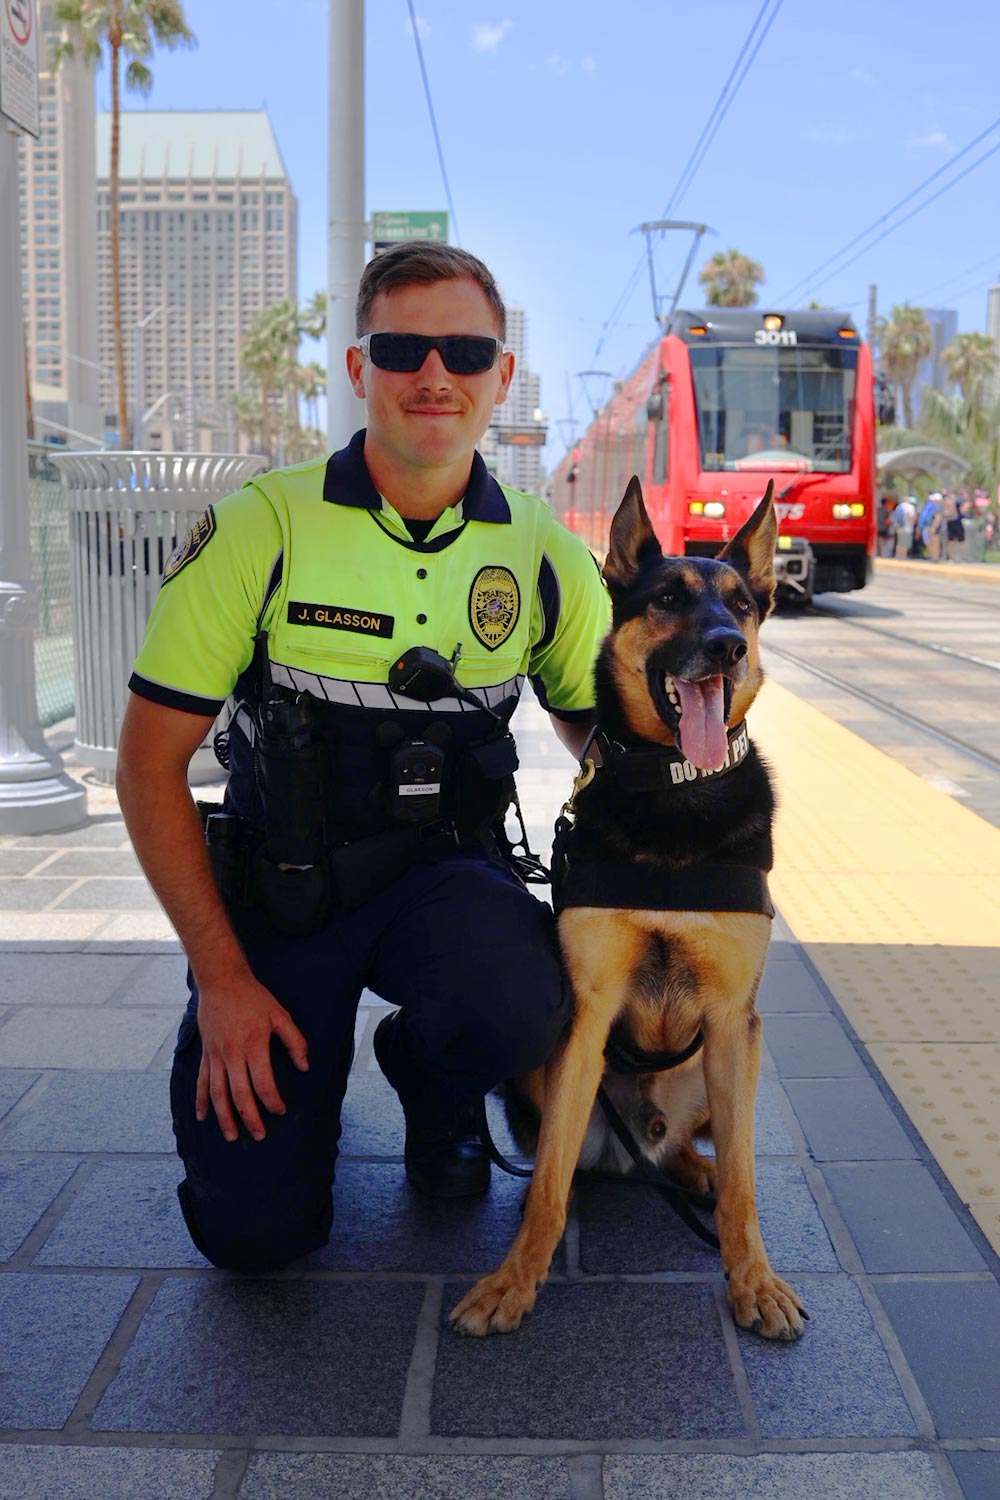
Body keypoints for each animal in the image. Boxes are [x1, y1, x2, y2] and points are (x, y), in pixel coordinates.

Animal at [449, 477, 809, 1338]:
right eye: (668, 598)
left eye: (741, 604)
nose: (728, 646)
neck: (675, 791)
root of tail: (632, 1148)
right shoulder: (584, 1016)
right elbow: (546, 1186)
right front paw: (516, 1280)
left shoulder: (731, 1020)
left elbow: (747, 1183)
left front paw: (753, 1280)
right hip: (542, 1072)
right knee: (568, 1156)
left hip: (728, 1066)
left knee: (700, 1150)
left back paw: (695, 1173)